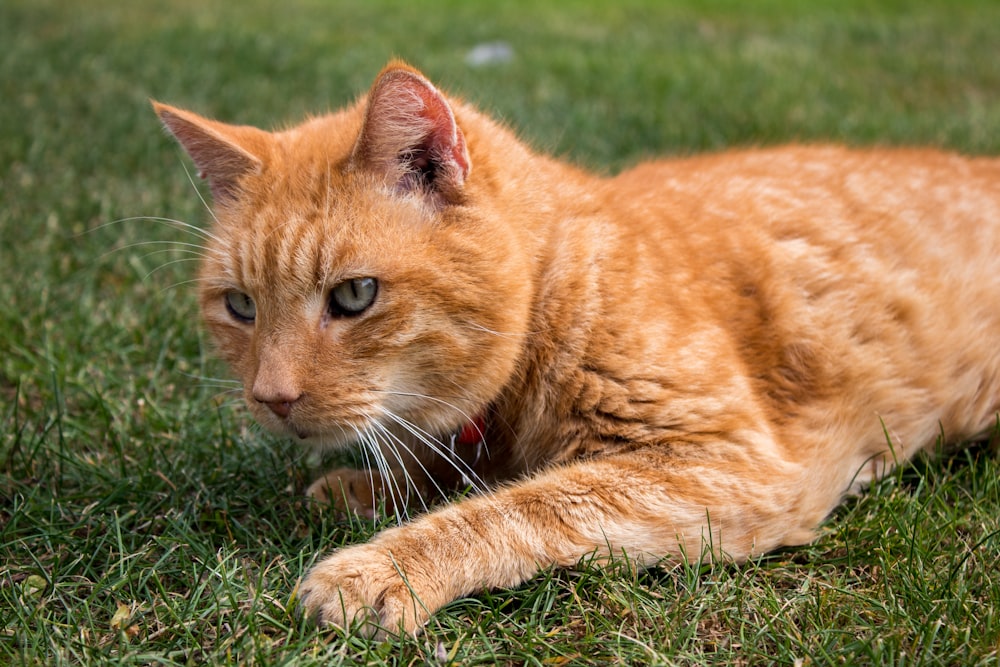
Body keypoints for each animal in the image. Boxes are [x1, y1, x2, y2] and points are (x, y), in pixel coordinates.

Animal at [152, 61, 1000, 636]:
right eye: (240, 306)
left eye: (355, 296)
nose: (272, 398)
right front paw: (374, 486)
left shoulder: (732, 463)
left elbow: (522, 506)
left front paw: (380, 563)